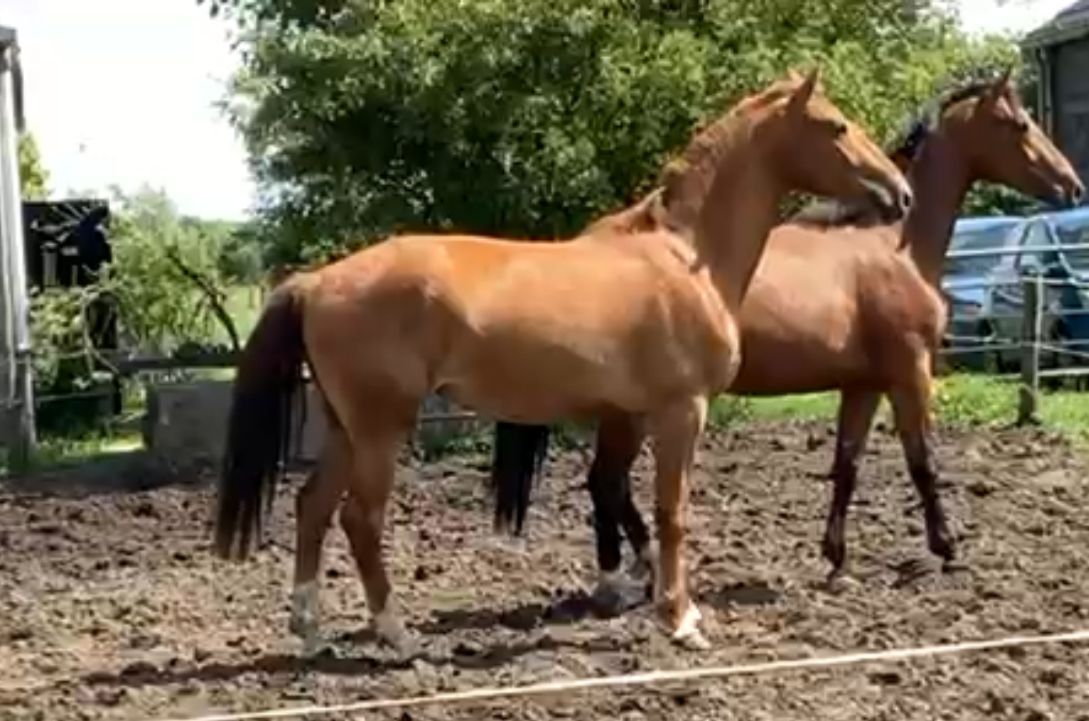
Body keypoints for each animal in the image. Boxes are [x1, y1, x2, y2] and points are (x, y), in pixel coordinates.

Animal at [213, 68, 912, 654]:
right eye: (835, 125)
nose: (900, 194)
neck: (685, 257)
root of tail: (315, 282)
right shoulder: (681, 412)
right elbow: (671, 514)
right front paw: (681, 619)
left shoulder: (628, 414)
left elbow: (621, 496)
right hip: (382, 428)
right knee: (360, 518)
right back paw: (397, 635)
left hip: (344, 428)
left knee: (312, 507)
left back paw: (310, 631)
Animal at [484, 69, 1086, 613]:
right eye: (1019, 124)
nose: (1072, 185)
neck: (893, 247)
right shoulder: (910, 372)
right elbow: (923, 461)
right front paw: (946, 547)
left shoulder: (862, 385)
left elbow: (847, 465)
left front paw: (836, 558)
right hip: (630, 412)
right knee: (607, 483)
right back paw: (633, 578)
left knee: (608, 485)